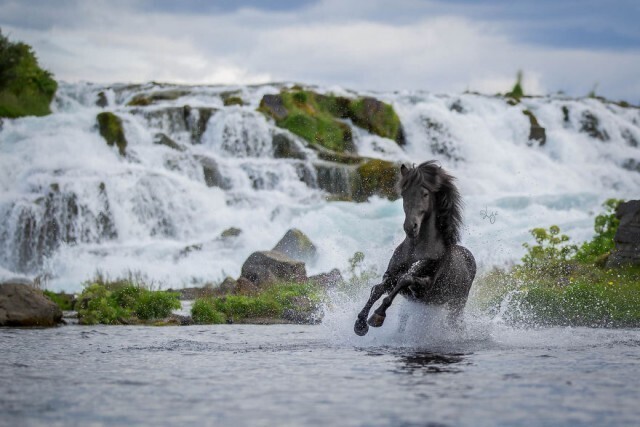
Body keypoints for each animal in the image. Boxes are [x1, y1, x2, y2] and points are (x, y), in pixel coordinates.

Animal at [356, 161, 476, 338]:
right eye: (404, 193)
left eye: (425, 194)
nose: (410, 227)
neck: (416, 250)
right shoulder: (390, 275)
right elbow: (377, 289)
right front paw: (360, 324)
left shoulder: (425, 287)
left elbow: (405, 279)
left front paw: (377, 316)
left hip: (456, 305)